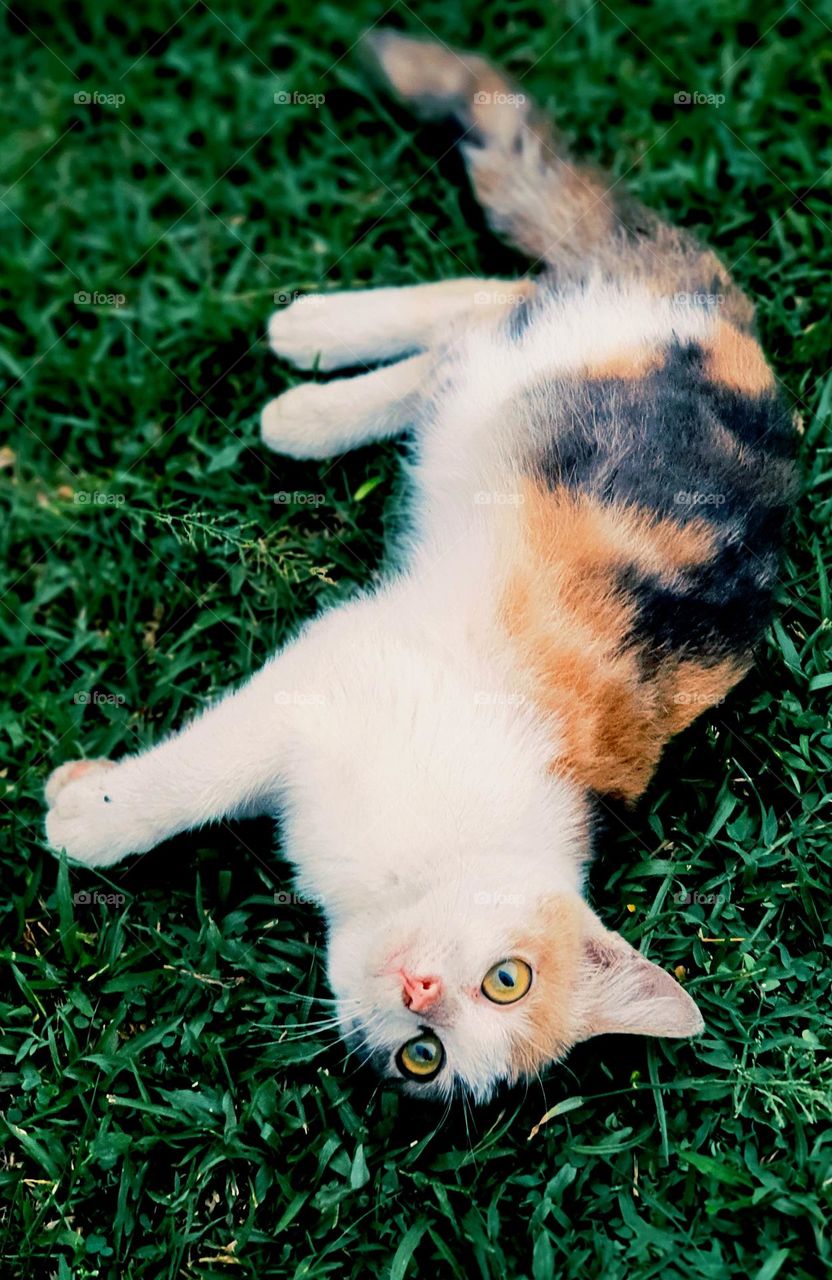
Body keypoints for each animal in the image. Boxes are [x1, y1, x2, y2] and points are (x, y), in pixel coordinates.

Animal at [45, 35, 798, 1105]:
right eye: (507, 975)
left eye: (424, 1057)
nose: (420, 993)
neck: (430, 862)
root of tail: (731, 321)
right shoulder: (330, 673)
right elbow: (193, 774)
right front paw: (98, 820)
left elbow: (202, 778)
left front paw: (87, 797)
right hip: (555, 356)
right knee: (491, 307)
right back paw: (312, 367)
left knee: (481, 321)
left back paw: (314, 386)